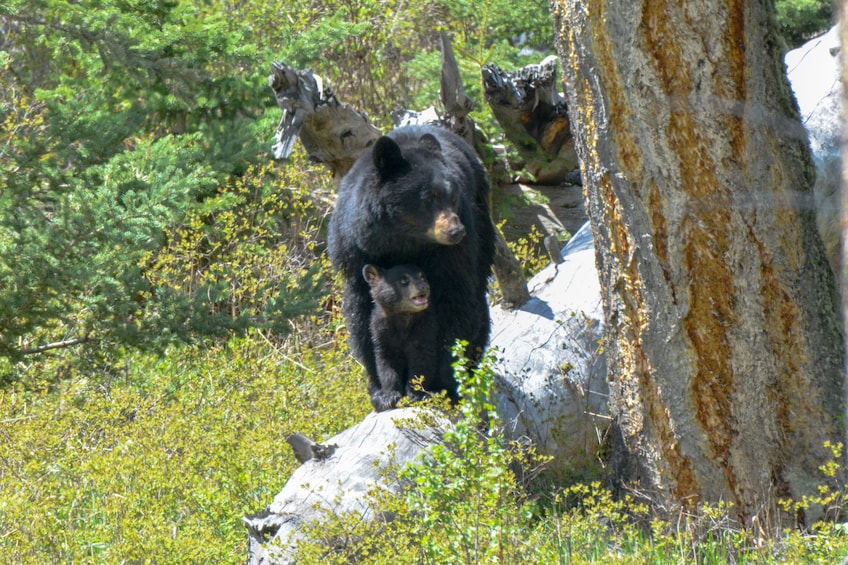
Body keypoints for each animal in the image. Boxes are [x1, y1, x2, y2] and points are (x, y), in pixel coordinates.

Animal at [360, 264, 450, 410]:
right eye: (403, 280)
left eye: (422, 276)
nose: (424, 286)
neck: (403, 316)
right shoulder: (381, 331)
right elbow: (386, 363)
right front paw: (388, 398)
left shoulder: (425, 327)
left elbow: (421, 359)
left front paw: (414, 395)